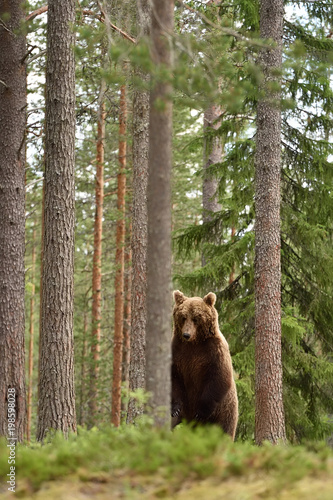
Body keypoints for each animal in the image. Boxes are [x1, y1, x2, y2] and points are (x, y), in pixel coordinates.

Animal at [170, 292, 237, 440]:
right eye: (183, 317)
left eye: (196, 318)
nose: (186, 334)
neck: (194, 343)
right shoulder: (177, 350)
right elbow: (174, 377)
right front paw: (175, 408)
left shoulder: (214, 351)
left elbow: (219, 376)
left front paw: (200, 412)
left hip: (224, 412)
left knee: (224, 431)